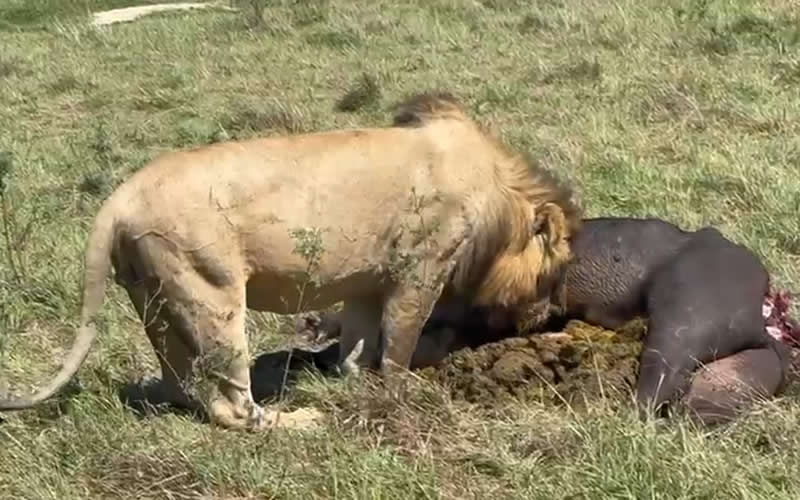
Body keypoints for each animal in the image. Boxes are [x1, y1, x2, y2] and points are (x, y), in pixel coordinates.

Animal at [0, 92, 581, 431]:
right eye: (556, 273)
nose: (551, 315)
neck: (498, 192)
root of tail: (119, 197)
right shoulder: (421, 269)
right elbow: (400, 342)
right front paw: (402, 391)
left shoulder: (368, 278)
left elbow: (360, 343)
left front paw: (353, 379)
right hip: (213, 295)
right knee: (235, 405)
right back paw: (297, 420)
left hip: (157, 302)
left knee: (185, 389)